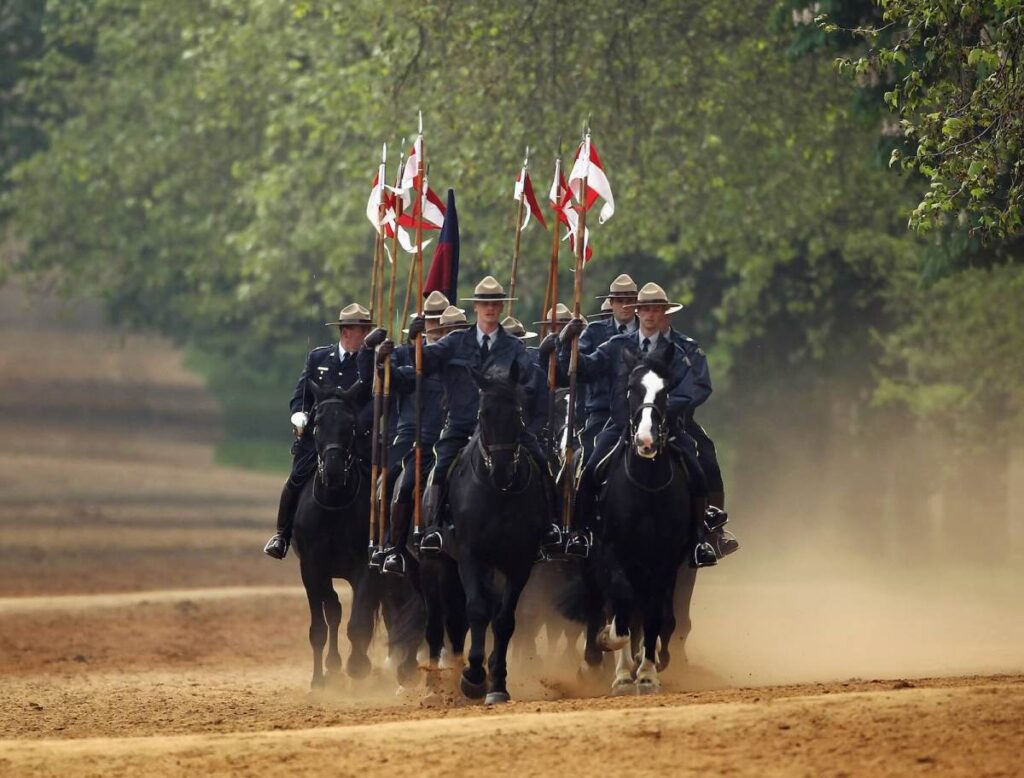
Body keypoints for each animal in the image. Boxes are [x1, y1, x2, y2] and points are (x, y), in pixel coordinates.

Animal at [292, 380, 423, 687]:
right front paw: (319, 681)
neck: (335, 504)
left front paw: (358, 666)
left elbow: (359, 622)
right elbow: (321, 625)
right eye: (316, 424)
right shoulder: (311, 568)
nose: (334, 471)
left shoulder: (367, 567)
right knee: (336, 609)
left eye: (350, 425)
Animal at [440, 362, 552, 704]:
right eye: (482, 414)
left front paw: (498, 683)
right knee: (454, 618)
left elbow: (503, 621)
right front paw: (473, 677)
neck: (497, 495)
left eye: (517, 412)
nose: (502, 471)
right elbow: (476, 611)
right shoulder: (469, 555)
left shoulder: (520, 561)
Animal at [577, 346, 696, 692]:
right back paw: (607, 663)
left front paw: (647, 672)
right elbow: (621, 608)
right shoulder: (612, 553)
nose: (646, 441)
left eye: (666, 392)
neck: (646, 488)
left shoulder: (665, 561)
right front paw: (612, 652)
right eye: (631, 390)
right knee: (610, 604)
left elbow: (654, 614)